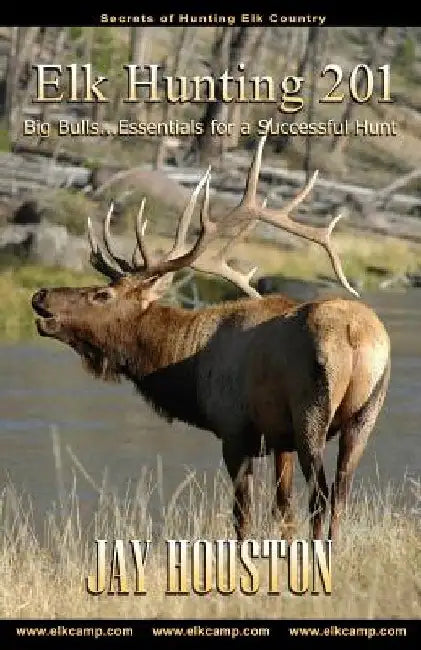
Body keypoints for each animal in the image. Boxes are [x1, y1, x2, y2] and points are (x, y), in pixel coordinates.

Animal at [31, 135, 391, 541]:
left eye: (102, 295)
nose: (40, 295)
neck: (186, 371)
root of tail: (355, 336)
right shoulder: (277, 439)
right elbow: (283, 512)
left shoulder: (234, 430)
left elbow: (243, 516)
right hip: (364, 416)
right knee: (340, 494)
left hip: (311, 413)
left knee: (321, 495)